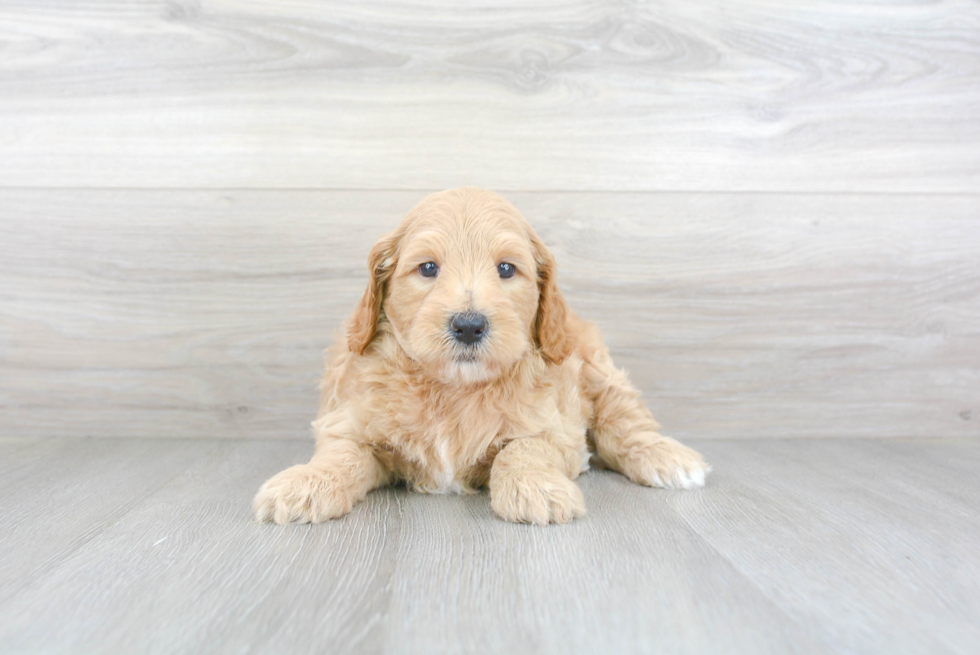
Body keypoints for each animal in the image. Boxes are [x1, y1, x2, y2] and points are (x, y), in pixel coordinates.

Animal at [256, 187, 708, 524]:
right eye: (428, 269)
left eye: (506, 269)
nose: (469, 325)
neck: (454, 388)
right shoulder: (350, 419)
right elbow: (341, 453)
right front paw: (305, 483)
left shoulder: (557, 428)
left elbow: (522, 449)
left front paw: (535, 488)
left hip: (597, 367)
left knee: (625, 422)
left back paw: (668, 459)